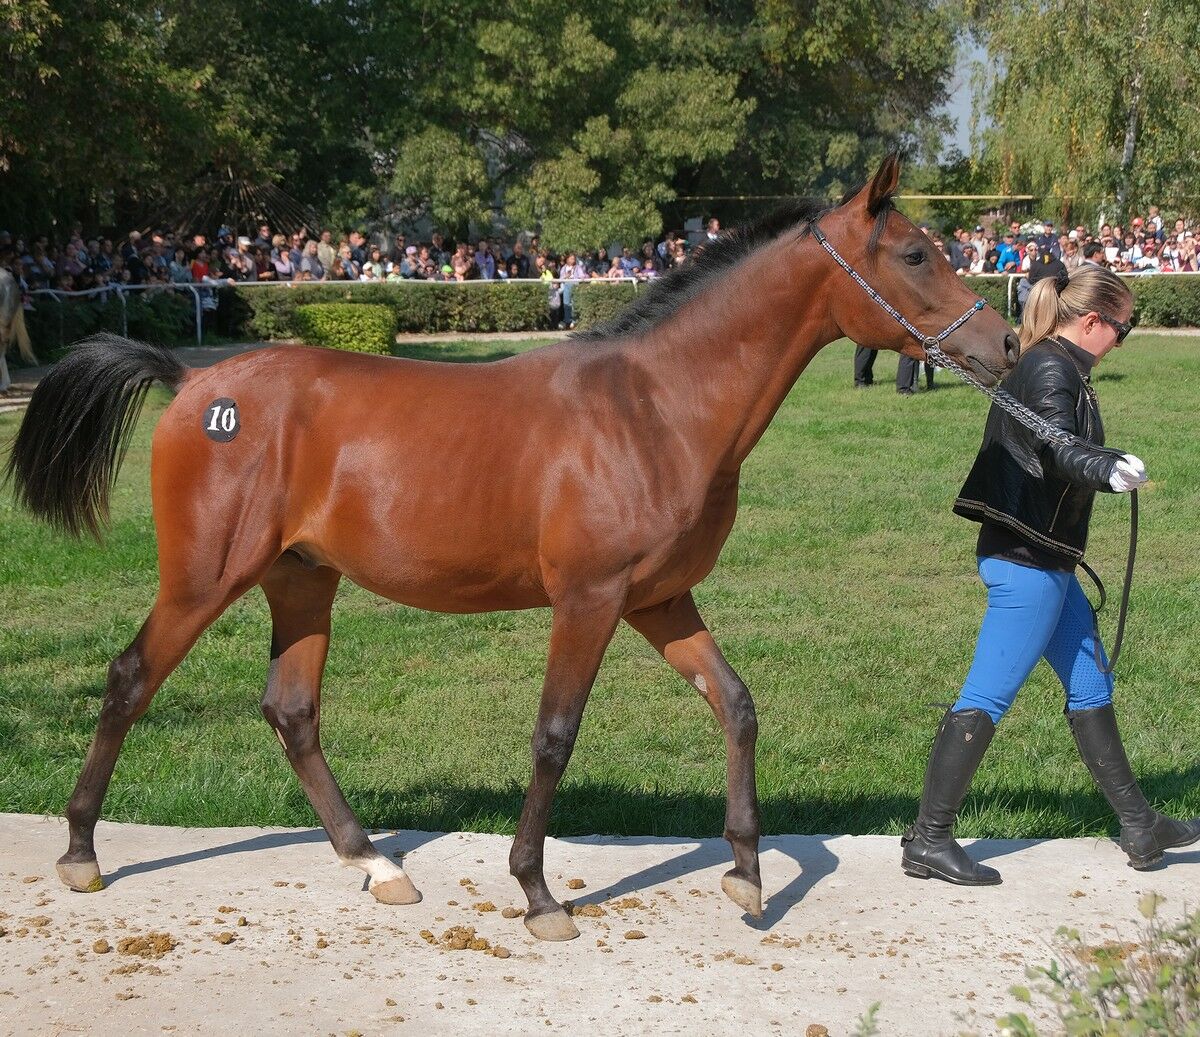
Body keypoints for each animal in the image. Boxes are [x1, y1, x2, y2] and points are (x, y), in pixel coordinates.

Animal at [6, 155, 1019, 942]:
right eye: (917, 253)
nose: (1006, 340)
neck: (655, 405)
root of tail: (192, 381)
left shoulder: (660, 600)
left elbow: (734, 704)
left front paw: (746, 872)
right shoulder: (590, 601)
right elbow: (554, 736)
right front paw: (537, 894)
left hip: (301, 583)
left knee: (291, 712)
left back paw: (375, 863)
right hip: (205, 578)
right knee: (131, 677)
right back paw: (82, 852)